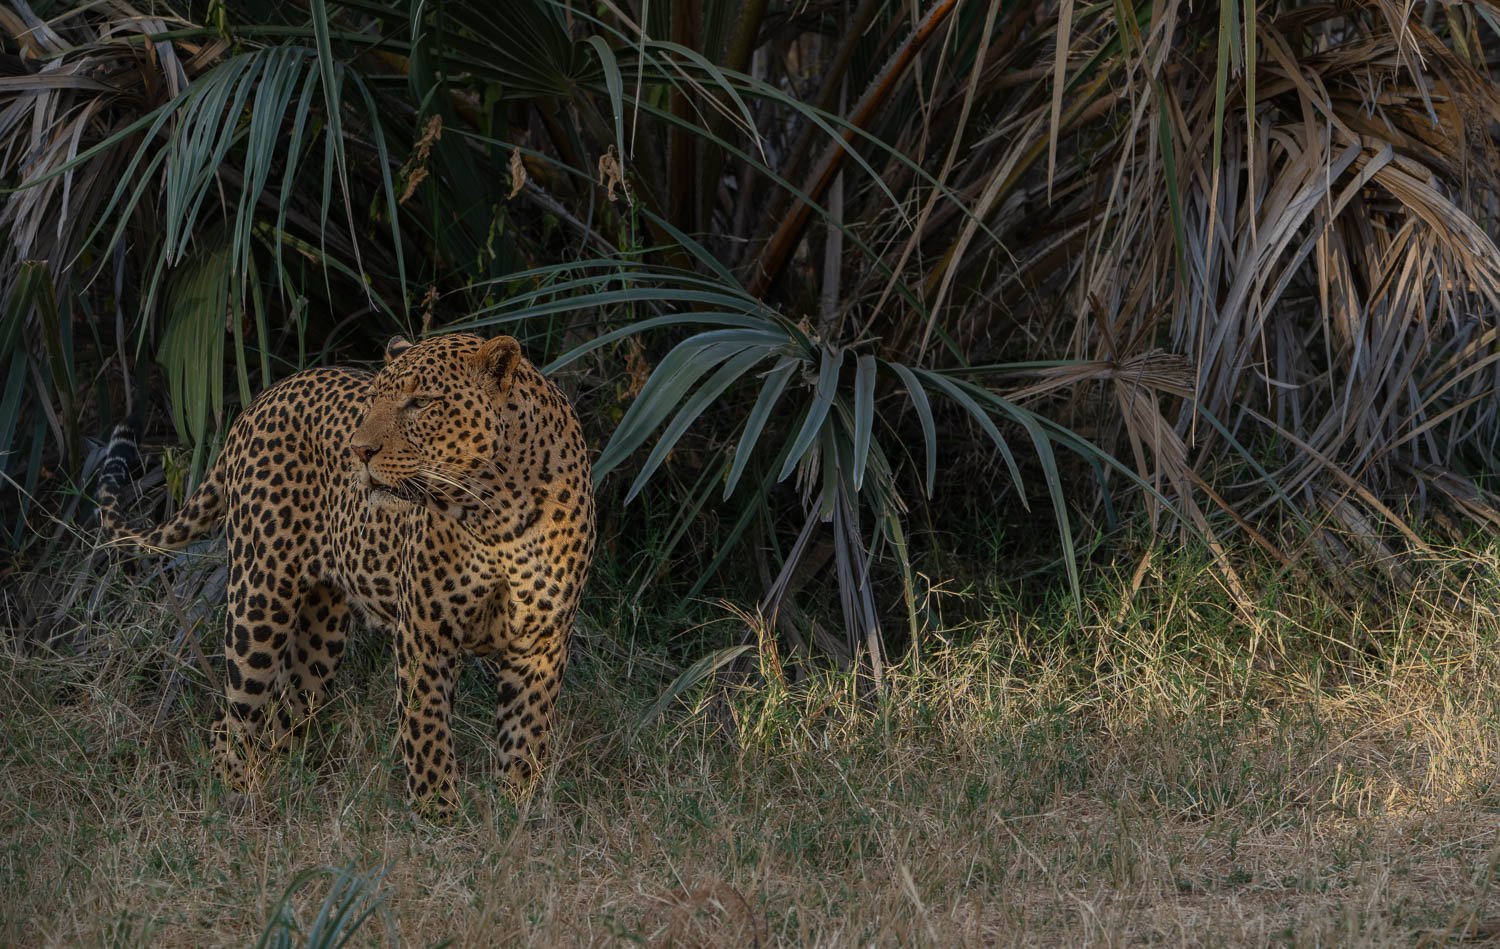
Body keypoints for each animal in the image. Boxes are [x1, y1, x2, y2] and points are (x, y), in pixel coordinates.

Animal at [98, 332, 596, 818]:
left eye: (421, 402)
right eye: (375, 398)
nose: (360, 450)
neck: (496, 514)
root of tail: (263, 399)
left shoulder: (542, 644)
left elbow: (524, 740)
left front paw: (517, 815)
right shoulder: (424, 632)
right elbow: (427, 734)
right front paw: (438, 819)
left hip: (321, 632)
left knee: (285, 715)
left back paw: (284, 798)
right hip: (258, 600)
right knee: (233, 719)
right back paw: (235, 805)